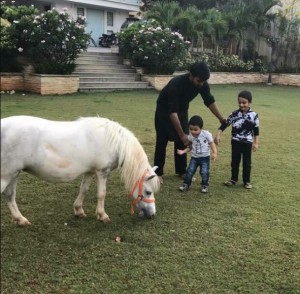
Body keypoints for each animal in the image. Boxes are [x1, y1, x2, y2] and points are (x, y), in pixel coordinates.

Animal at [1, 115, 161, 225]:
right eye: (148, 192)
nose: (152, 214)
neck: (113, 142)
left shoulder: (89, 171)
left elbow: (83, 189)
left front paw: (78, 210)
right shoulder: (102, 171)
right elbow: (101, 194)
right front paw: (102, 215)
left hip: (14, 173)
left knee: (10, 195)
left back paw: (20, 219)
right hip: (6, 175)